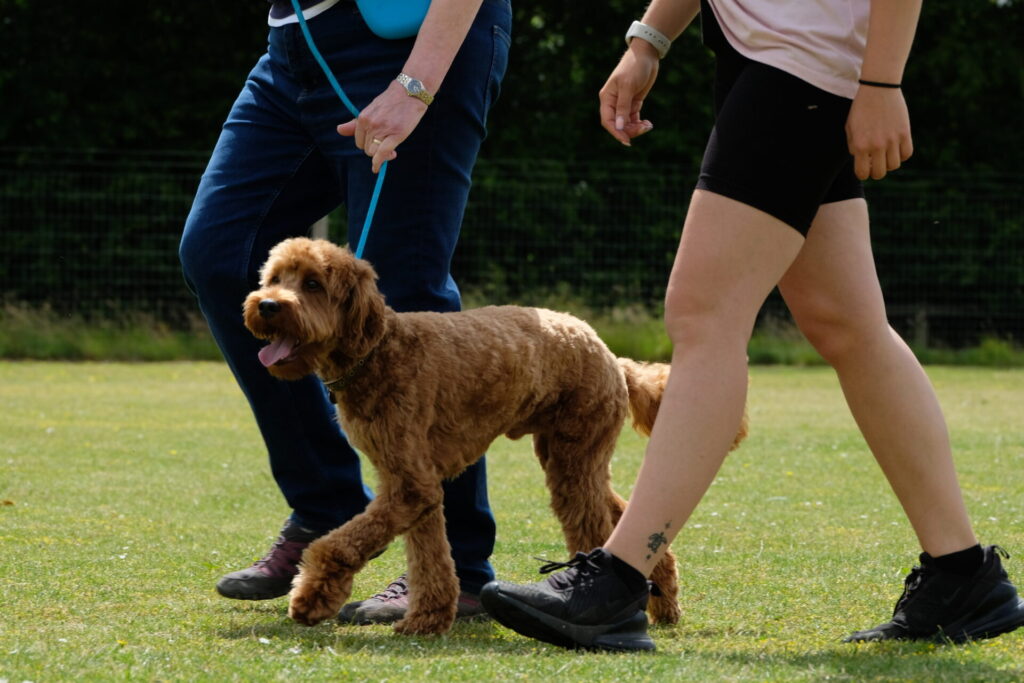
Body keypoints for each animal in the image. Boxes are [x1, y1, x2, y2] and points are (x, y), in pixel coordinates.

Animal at [243, 237, 749, 638]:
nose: (266, 305)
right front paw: (426, 619)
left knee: (594, 523)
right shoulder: (412, 483)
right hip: (574, 456)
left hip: (577, 452)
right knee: (621, 512)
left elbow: (339, 543)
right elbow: (430, 557)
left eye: (313, 284)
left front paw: (311, 598)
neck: (379, 350)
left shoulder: (410, 484)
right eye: (275, 277)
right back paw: (662, 599)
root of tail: (611, 355)